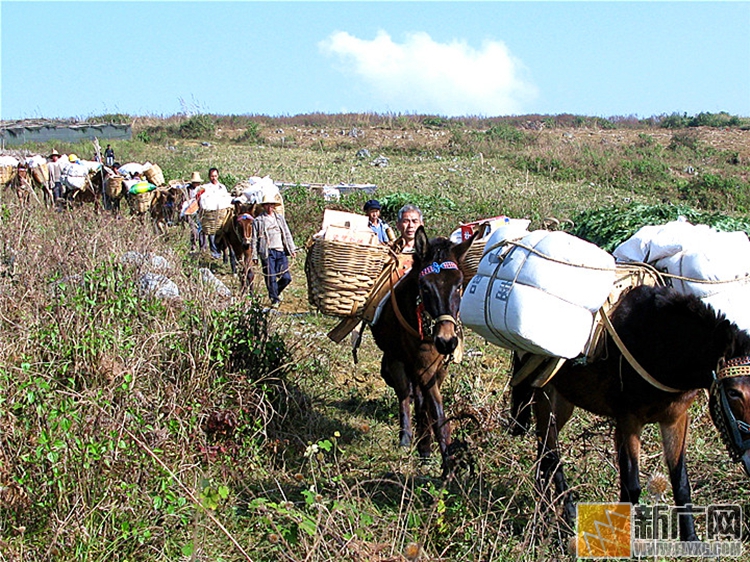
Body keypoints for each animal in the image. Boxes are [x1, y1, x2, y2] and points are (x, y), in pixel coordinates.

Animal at [370, 223, 482, 472]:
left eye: (459, 285)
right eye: (425, 287)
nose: (447, 340)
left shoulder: (439, 368)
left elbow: (430, 407)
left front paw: (428, 448)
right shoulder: (422, 366)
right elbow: (438, 413)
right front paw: (448, 465)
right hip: (395, 358)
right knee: (404, 394)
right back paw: (406, 438)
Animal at [512, 284, 750, 540]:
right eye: (734, 393)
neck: (662, 345)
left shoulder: (675, 419)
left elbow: (681, 483)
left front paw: (691, 539)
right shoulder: (628, 420)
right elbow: (632, 485)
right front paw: (614, 537)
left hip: (564, 400)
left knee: (544, 450)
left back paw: (547, 512)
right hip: (545, 394)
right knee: (551, 454)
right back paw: (564, 516)